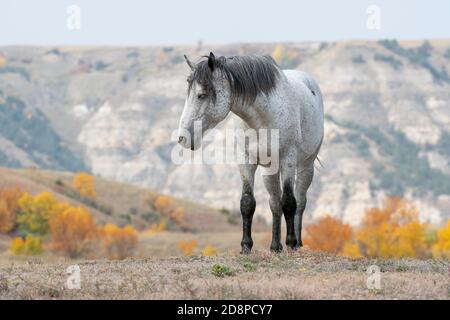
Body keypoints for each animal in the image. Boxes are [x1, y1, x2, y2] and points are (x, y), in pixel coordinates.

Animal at [178, 52, 322, 252]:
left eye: (201, 95)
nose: (182, 138)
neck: (263, 119)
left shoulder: (288, 160)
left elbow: (289, 202)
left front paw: (291, 242)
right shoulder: (246, 161)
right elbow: (247, 202)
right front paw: (246, 245)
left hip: (305, 167)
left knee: (300, 202)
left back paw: (297, 244)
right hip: (269, 171)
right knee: (274, 203)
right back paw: (275, 246)